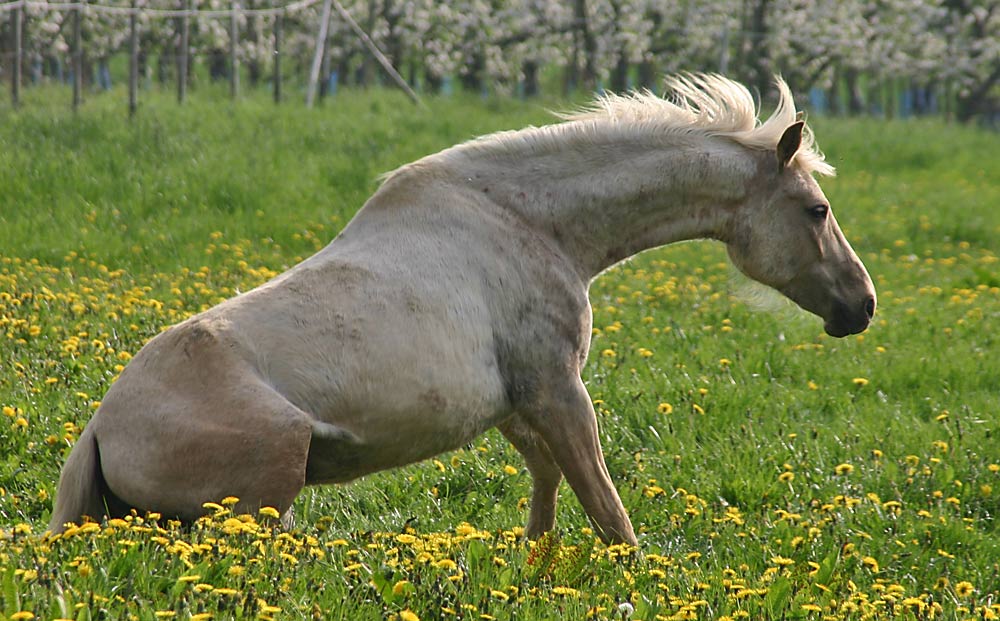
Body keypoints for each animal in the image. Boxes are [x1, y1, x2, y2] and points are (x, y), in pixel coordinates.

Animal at [48, 74, 876, 544]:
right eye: (815, 209)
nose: (861, 306)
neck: (527, 220)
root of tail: (99, 430)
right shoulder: (558, 390)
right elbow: (609, 513)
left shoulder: (515, 405)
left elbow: (547, 496)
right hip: (266, 498)